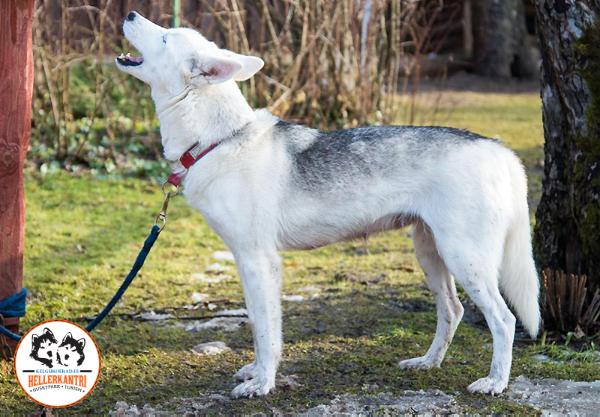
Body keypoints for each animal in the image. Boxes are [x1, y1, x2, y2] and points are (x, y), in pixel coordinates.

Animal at [118, 12, 544, 396]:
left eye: (165, 38)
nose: (131, 13)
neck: (220, 139)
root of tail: (499, 149)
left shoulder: (259, 261)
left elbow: (266, 332)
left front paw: (262, 384)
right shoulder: (246, 262)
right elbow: (259, 325)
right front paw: (256, 372)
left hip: (464, 258)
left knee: (504, 320)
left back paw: (495, 383)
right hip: (430, 253)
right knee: (453, 311)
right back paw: (427, 362)